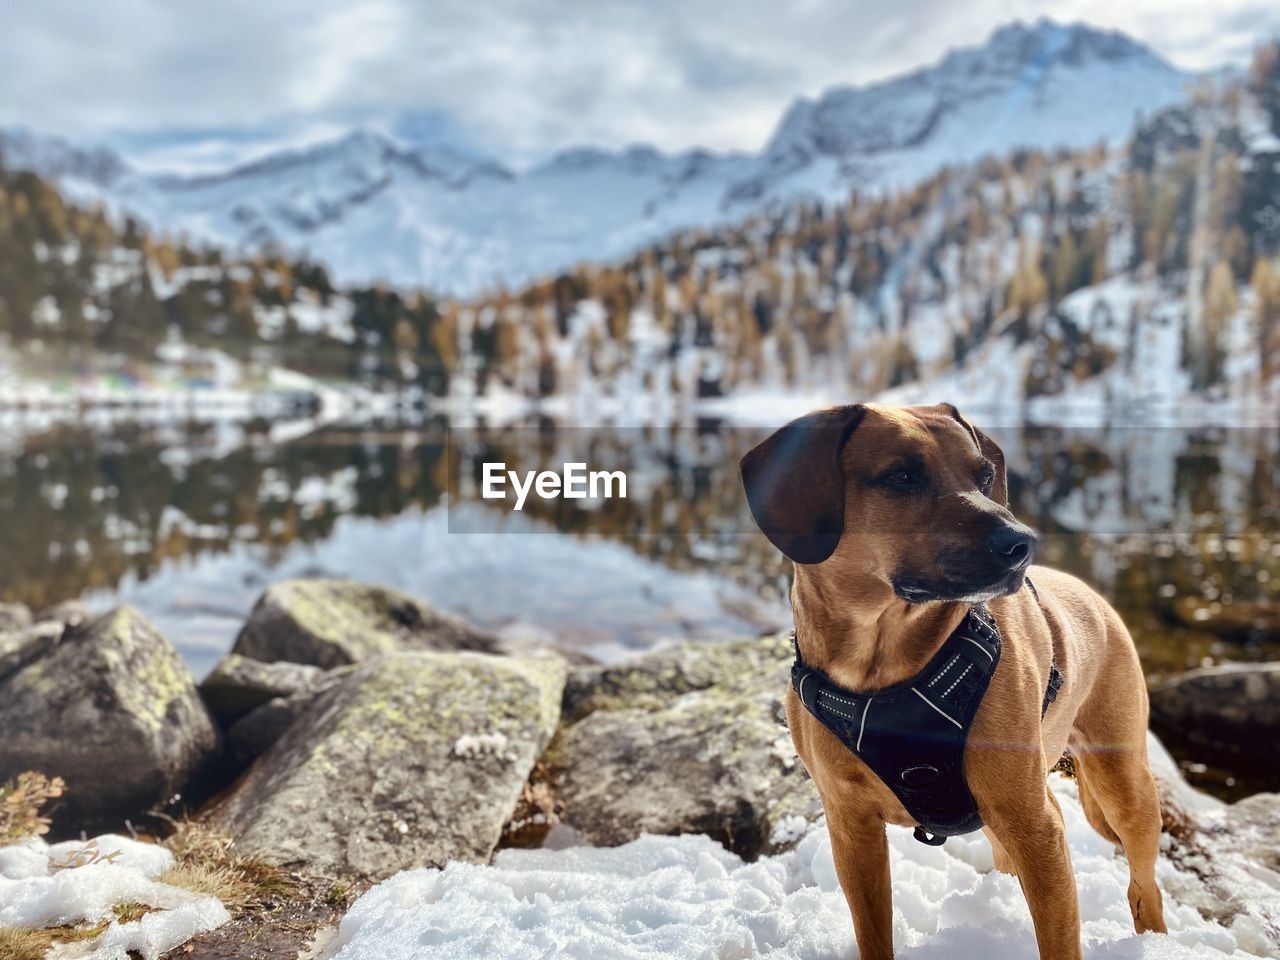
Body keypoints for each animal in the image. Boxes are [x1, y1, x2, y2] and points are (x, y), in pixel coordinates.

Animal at [742, 404, 1172, 960]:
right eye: (902, 476)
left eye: (984, 476)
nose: (1021, 544)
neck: (884, 668)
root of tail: (1090, 593)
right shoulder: (851, 825)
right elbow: (873, 931)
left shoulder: (1035, 827)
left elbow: (1059, 936)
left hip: (1120, 781)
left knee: (1144, 881)